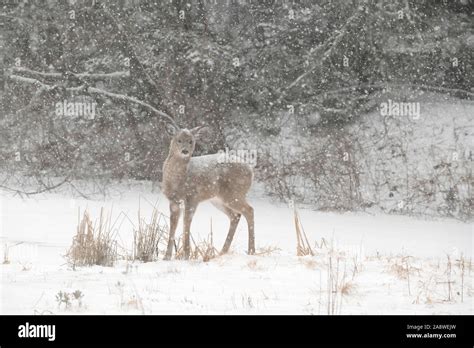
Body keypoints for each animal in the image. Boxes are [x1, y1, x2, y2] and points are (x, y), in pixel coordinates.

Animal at [161, 123, 254, 260]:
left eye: (191, 141)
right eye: (179, 140)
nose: (185, 151)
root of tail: (251, 171)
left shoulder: (192, 197)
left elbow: (186, 223)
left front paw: (186, 255)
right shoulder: (173, 200)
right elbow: (173, 225)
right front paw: (166, 257)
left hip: (234, 193)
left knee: (249, 210)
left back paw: (252, 251)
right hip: (218, 199)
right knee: (235, 215)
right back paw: (222, 252)